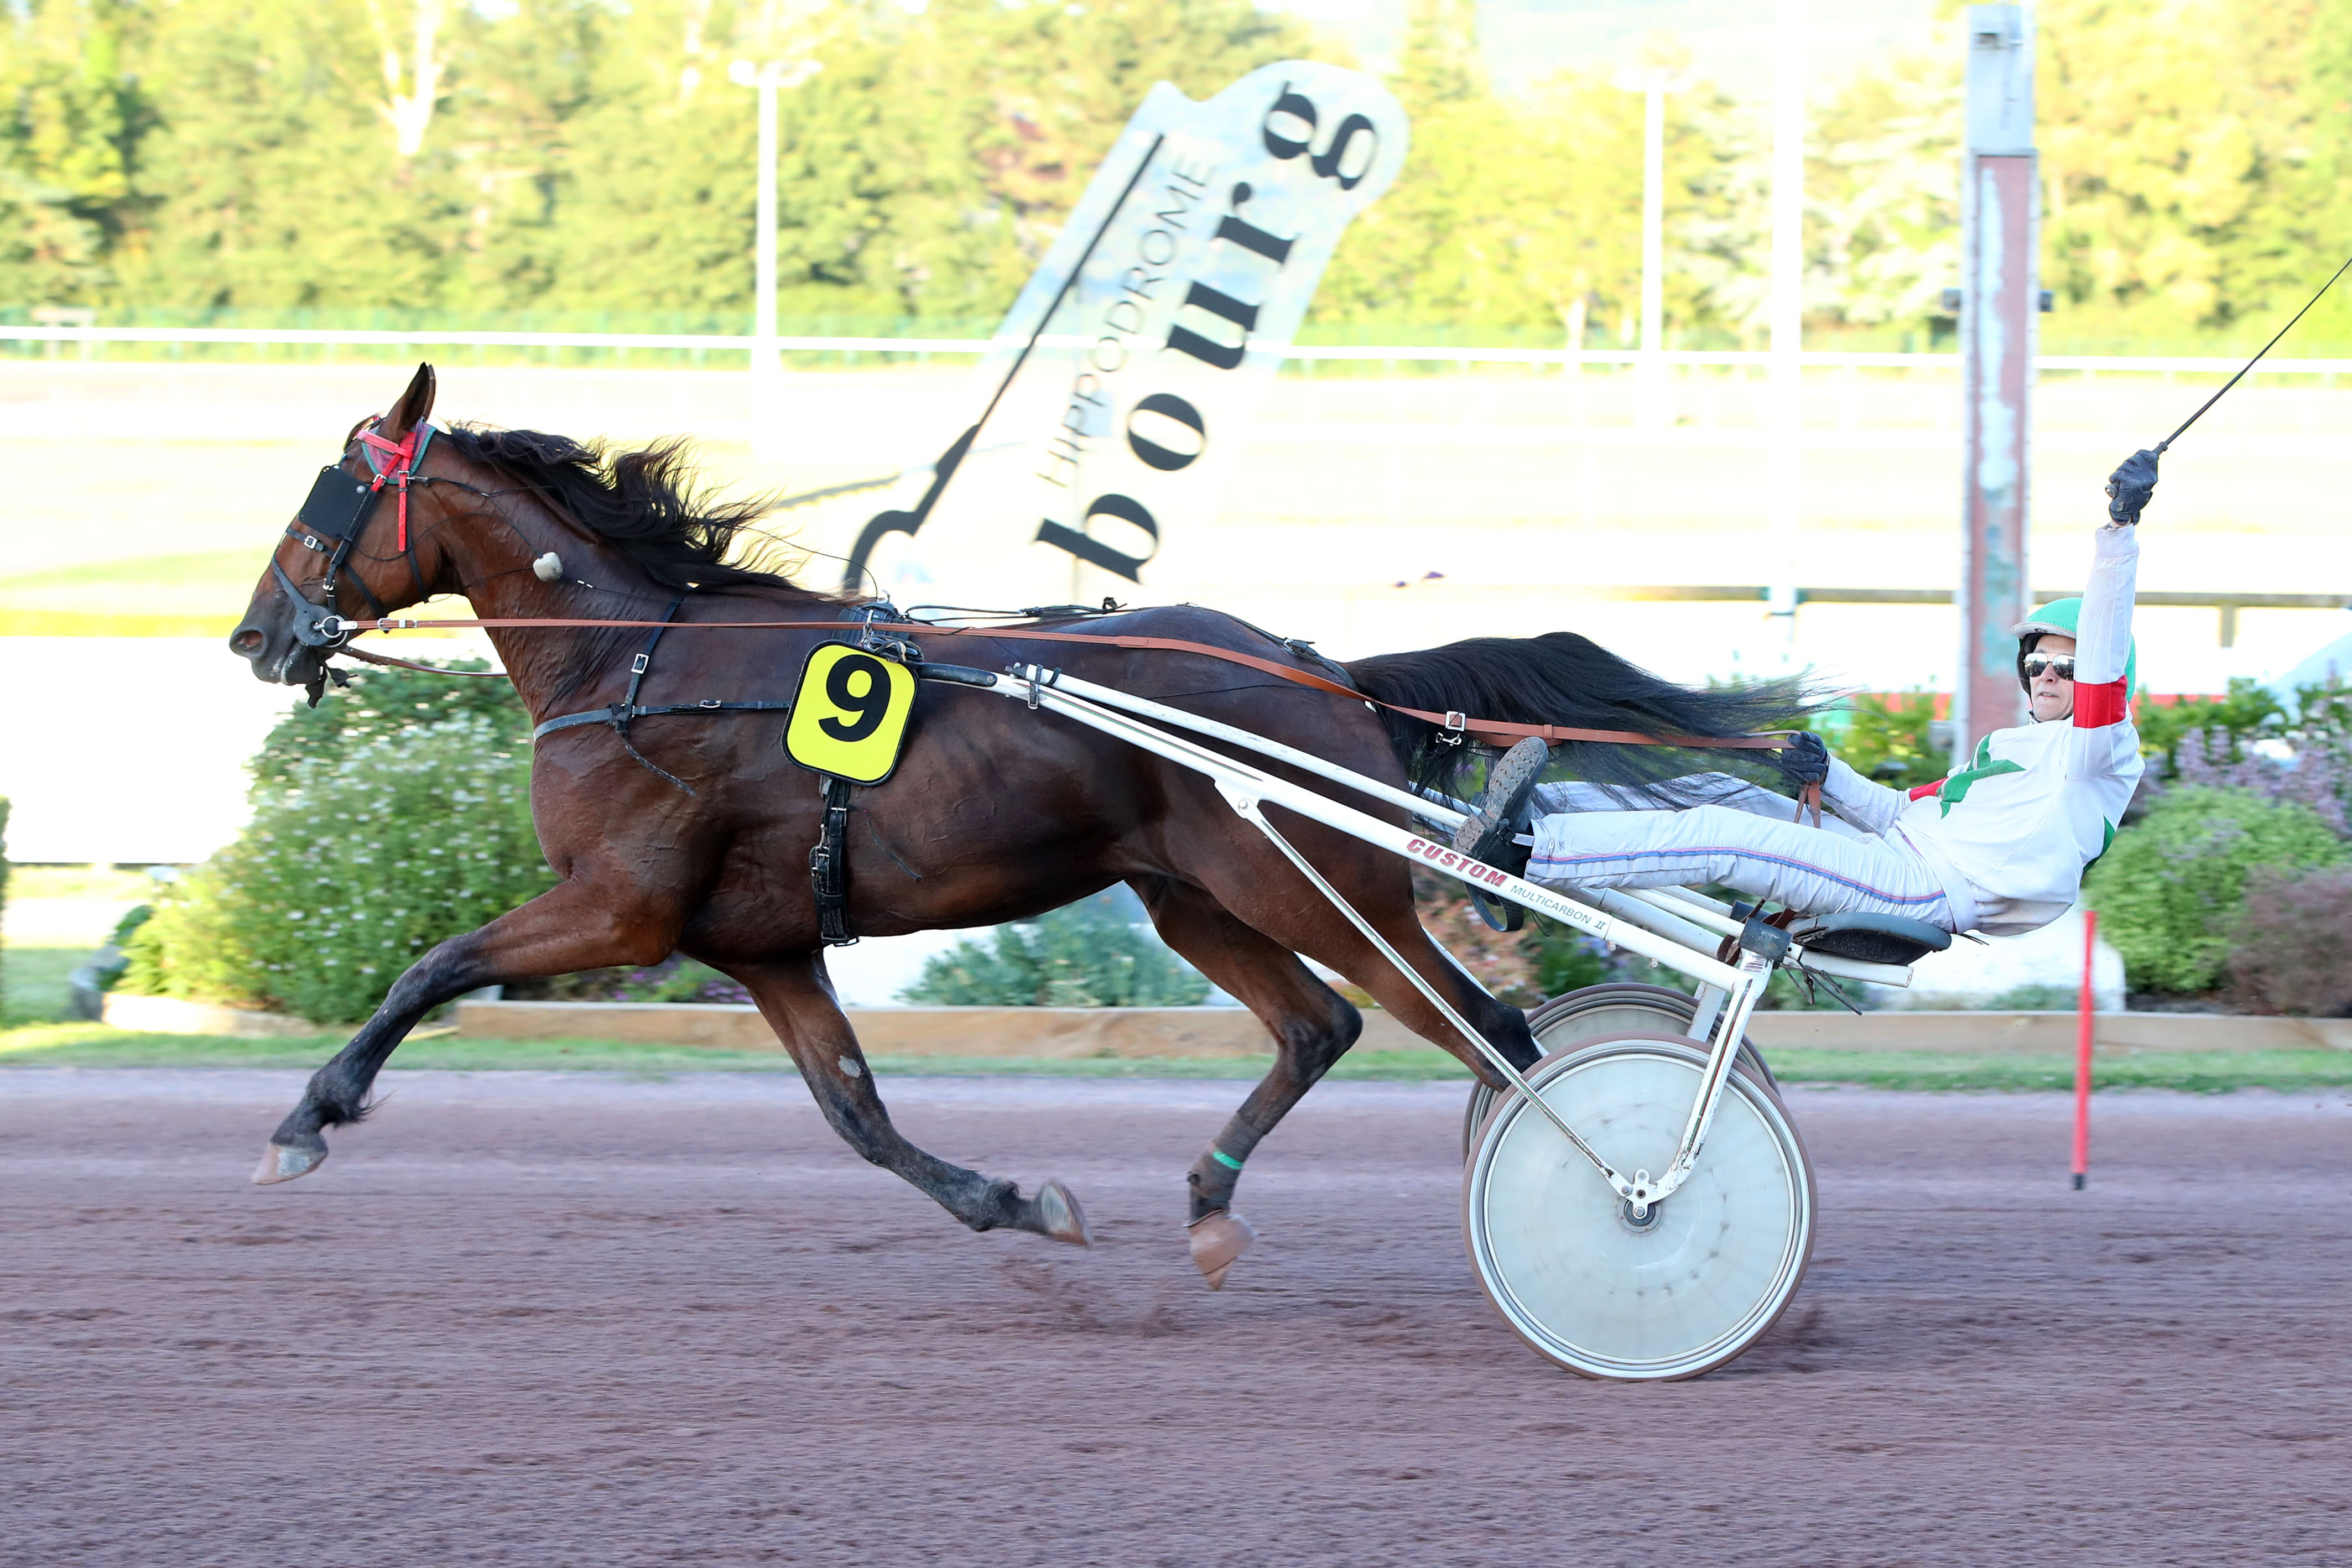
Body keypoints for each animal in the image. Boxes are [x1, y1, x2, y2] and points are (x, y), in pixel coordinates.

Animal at [229, 369, 1797, 1288]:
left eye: (327, 497)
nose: (257, 633)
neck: (640, 662)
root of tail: (1322, 669)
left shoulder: (623, 907)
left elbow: (430, 968)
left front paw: (306, 1120)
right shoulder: (764, 946)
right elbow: (856, 1114)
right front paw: (1016, 1203)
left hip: (1313, 881)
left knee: (1491, 1032)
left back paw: (1620, 1203)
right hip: (1195, 895)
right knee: (1324, 1028)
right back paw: (1208, 1200)